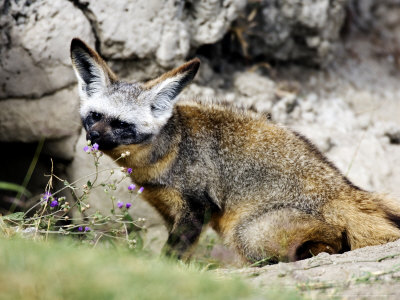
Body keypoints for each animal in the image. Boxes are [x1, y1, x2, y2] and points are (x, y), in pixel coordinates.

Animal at [70, 38, 400, 264]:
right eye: (95, 116)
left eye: (122, 124)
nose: (93, 137)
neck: (171, 148)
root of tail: (345, 190)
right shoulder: (168, 210)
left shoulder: (196, 209)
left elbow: (174, 253)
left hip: (247, 234)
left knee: (328, 246)